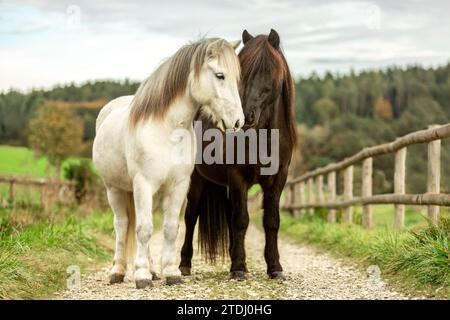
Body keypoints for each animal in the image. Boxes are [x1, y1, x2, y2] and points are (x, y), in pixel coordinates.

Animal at [92, 38, 244, 288]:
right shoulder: (143, 184)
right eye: (220, 75)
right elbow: (143, 229)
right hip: (114, 189)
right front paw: (142, 276)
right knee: (122, 225)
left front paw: (171, 273)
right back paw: (118, 271)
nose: (238, 121)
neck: (167, 130)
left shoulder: (178, 185)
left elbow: (171, 228)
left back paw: (153, 270)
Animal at [179, 30, 298, 280]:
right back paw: (184, 265)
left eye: (269, 70)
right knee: (191, 216)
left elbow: (271, 221)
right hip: (196, 180)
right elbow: (242, 220)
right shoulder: (238, 177)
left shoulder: (278, 180)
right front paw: (238, 268)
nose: (244, 116)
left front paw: (274, 267)